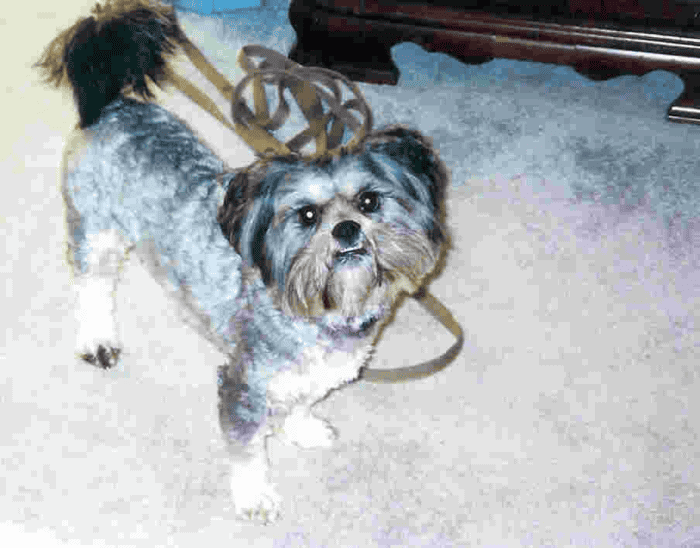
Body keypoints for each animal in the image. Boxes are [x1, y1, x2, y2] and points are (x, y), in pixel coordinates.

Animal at [37, 0, 448, 524]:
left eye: (369, 201)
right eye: (307, 216)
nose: (346, 230)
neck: (319, 311)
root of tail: (110, 106)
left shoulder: (311, 376)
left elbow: (303, 400)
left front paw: (303, 428)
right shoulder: (243, 384)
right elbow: (247, 449)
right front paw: (255, 496)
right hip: (97, 231)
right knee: (93, 287)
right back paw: (97, 338)